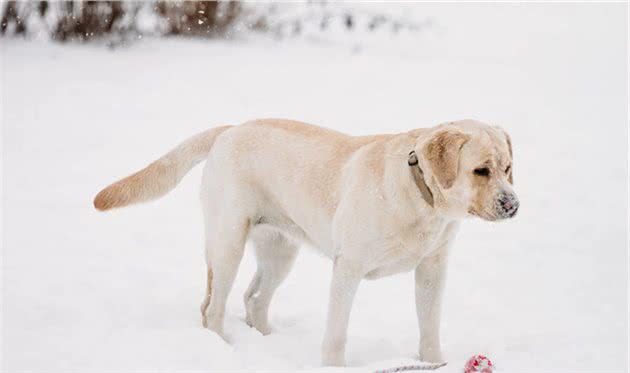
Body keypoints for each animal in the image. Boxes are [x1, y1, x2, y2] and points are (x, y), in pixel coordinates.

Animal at [94, 118, 520, 366]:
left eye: (507, 168)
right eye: (481, 171)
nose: (513, 204)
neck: (421, 197)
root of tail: (230, 128)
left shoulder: (432, 270)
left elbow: (429, 329)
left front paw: (433, 363)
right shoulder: (348, 269)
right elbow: (336, 335)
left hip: (281, 251)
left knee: (254, 298)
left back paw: (268, 342)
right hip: (228, 243)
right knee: (212, 308)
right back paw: (226, 349)